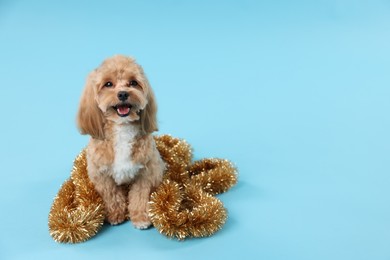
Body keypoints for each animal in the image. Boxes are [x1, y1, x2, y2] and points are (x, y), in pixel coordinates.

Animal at [77, 53, 164, 229]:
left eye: (133, 83)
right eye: (108, 84)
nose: (123, 94)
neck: (122, 128)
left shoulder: (146, 172)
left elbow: (139, 196)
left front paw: (140, 217)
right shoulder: (101, 175)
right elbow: (112, 196)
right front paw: (115, 215)